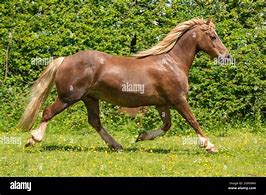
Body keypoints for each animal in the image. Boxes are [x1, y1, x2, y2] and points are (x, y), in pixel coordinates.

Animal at [19, 18, 231, 152]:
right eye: (213, 36)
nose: (227, 56)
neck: (172, 63)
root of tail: (65, 59)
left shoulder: (162, 104)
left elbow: (166, 126)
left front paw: (141, 137)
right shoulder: (178, 100)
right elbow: (193, 121)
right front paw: (210, 146)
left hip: (90, 98)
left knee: (95, 122)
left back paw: (117, 146)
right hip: (68, 97)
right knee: (48, 112)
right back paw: (33, 140)